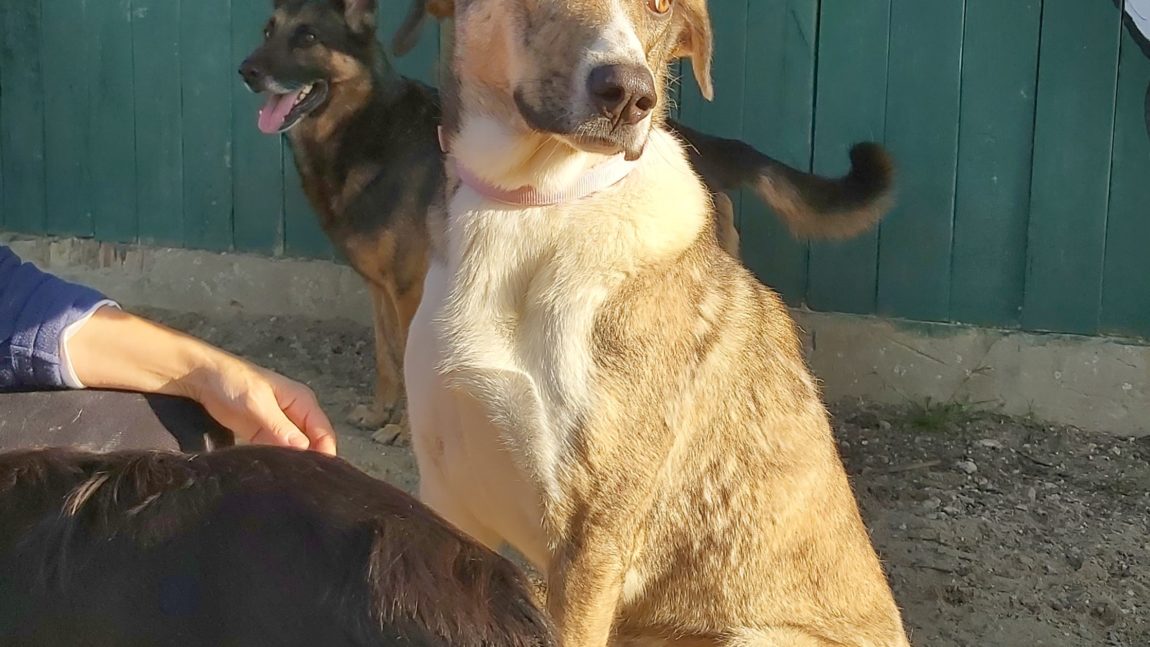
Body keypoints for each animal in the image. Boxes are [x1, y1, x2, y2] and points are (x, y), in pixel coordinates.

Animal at [239, 0, 893, 439]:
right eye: (269, 30)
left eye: (306, 37)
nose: (247, 71)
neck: (365, 126)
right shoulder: (382, 289)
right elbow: (383, 356)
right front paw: (381, 410)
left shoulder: (407, 290)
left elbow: (400, 357)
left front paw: (400, 428)